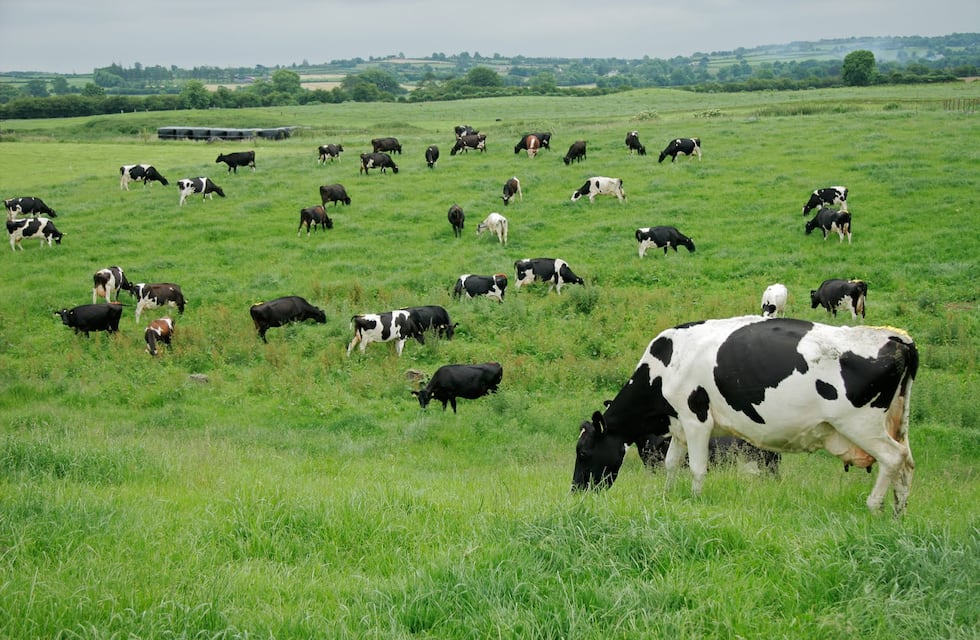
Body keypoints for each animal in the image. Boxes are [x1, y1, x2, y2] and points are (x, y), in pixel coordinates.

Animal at [572, 316, 918, 516]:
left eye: (584, 452)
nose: (576, 491)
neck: (665, 365)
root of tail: (896, 337)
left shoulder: (696, 419)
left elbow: (696, 468)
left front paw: (695, 501)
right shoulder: (679, 423)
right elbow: (671, 464)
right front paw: (667, 497)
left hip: (861, 423)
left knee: (893, 458)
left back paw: (874, 506)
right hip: (896, 424)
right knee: (907, 464)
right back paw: (898, 513)